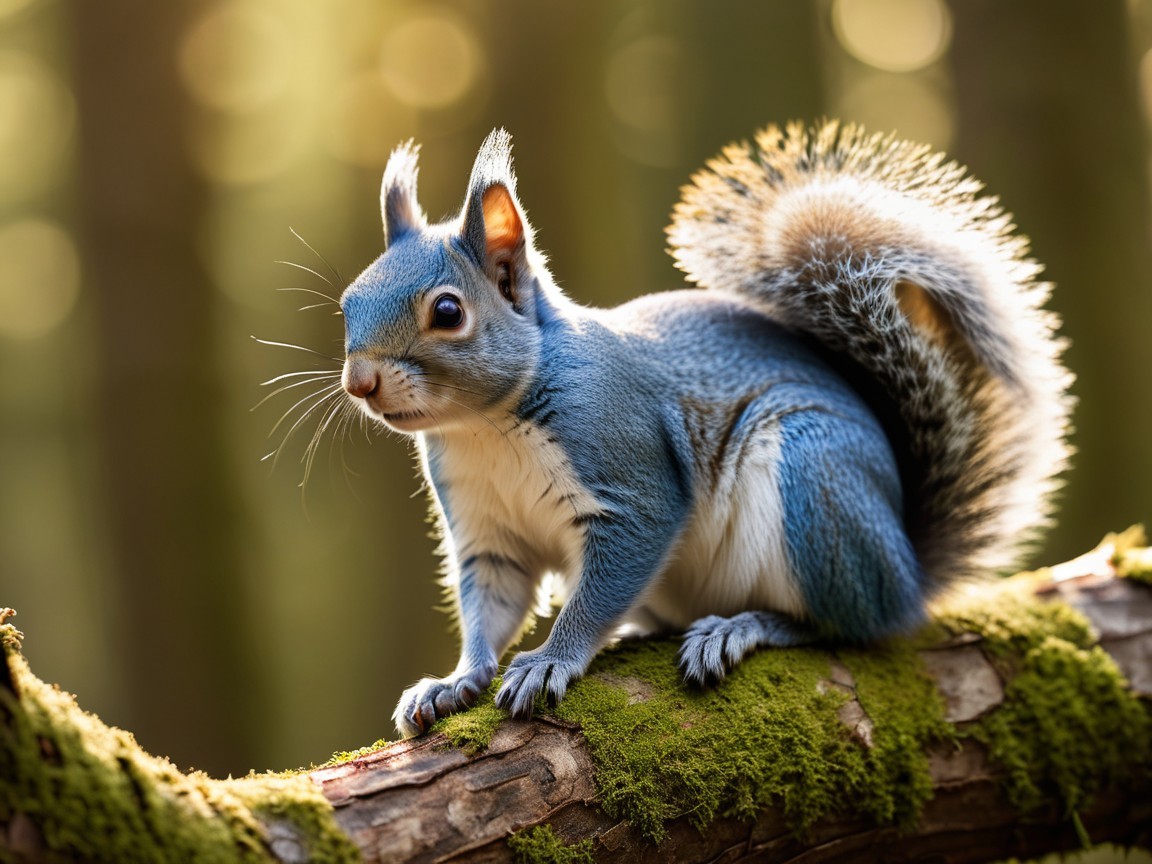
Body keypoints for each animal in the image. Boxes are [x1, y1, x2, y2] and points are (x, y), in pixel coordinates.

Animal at [336, 121, 1073, 737]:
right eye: (348, 302)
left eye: (449, 311)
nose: (359, 382)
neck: (487, 427)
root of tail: (909, 575)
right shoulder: (488, 532)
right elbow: (491, 605)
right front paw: (454, 680)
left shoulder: (630, 477)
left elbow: (599, 588)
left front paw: (552, 660)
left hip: (814, 484)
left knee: (843, 625)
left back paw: (742, 628)